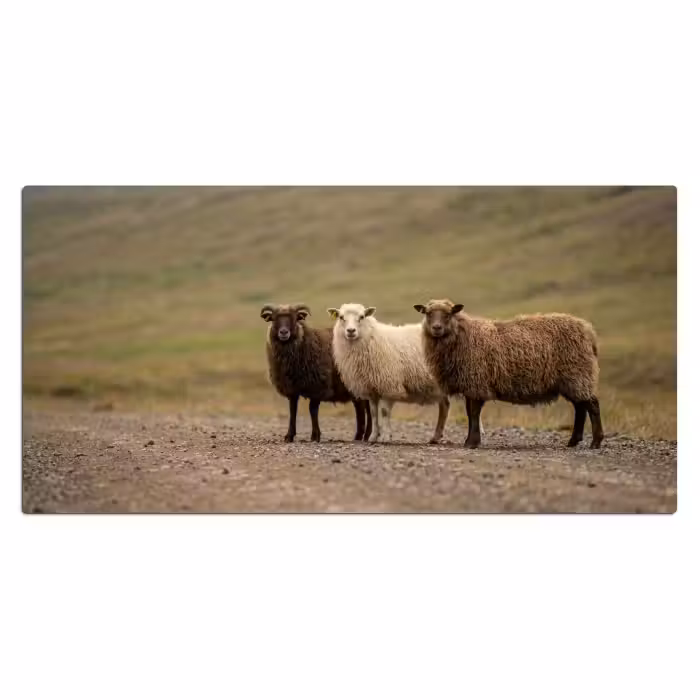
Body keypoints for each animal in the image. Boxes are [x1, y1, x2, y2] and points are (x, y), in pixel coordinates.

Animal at [260, 303, 372, 443]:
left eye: (295, 318)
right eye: (273, 319)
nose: (284, 332)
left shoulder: (318, 386)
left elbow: (312, 410)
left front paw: (315, 436)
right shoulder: (292, 389)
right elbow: (292, 410)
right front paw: (289, 436)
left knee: (363, 408)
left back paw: (361, 436)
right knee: (363, 407)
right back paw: (362, 436)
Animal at [327, 303, 458, 445]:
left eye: (362, 317)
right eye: (341, 317)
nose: (351, 331)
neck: (372, 338)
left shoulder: (388, 385)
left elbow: (384, 412)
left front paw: (385, 437)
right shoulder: (371, 388)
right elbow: (373, 413)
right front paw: (373, 437)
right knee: (445, 405)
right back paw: (435, 437)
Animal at [413, 299, 604, 449]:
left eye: (448, 314)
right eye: (428, 314)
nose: (436, 328)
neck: (462, 336)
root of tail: (588, 331)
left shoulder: (476, 383)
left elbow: (474, 413)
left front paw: (472, 443)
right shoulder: (470, 385)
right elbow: (470, 414)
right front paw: (471, 440)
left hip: (578, 374)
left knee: (592, 405)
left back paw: (596, 442)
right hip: (573, 379)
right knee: (580, 407)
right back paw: (573, 441)